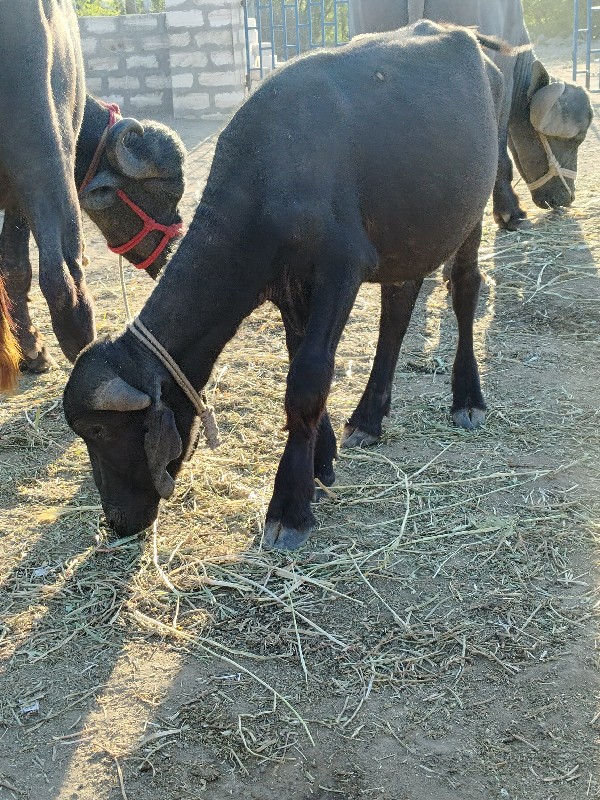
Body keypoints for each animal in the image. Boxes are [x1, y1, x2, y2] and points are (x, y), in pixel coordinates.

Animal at [65, 23, 504, 552]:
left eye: (98, 429)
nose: (115, 520)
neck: (269, 175)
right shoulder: (287, 288)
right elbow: (298, 358)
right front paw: (322, 457)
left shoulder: (341, 268)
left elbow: (308, 379)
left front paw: (290, 504)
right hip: (410, 234)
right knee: (398, 309)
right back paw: (368, 417)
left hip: (473, 210)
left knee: (465, 289)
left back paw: (468, 398)